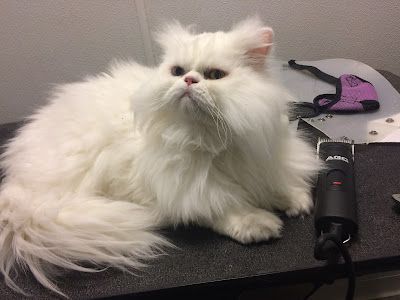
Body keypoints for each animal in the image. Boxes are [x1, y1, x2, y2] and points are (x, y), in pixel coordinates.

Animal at [0, 18, 318, 296]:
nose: (189, 80)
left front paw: (295, 201)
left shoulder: (261, 157)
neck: (211, 139)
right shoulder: (178, 187)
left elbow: (276, 183)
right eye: (177, 71)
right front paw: (257, 224)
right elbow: (219, 204)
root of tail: (16, 185)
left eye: (215, 76)